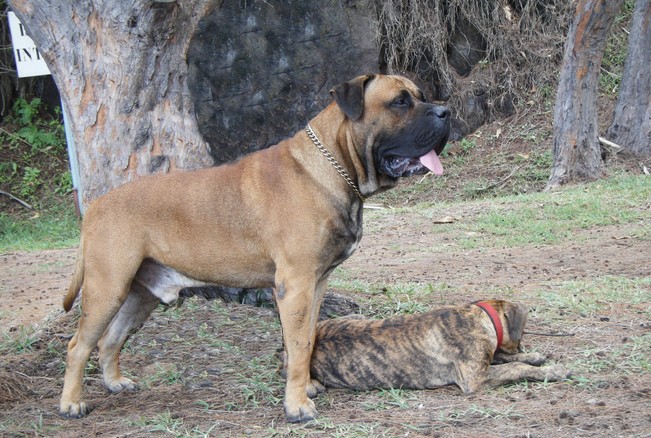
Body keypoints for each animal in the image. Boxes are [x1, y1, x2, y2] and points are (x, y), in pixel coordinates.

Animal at [58, 73, 450, 422]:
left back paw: (114, 383)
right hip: (107, 287)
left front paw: (304, 387)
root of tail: (95, 206)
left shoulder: (315, 285)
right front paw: (297, 407)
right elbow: (299, 345)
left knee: (110, 340)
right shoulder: (295, 286)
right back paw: (71, 404)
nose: (445, 112)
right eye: (400, 102)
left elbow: (306, 341)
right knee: (78, 346)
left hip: (140, 295)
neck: (332, 168)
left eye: (421, 95)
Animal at [306, 300, 572, 392]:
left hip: (356, 317)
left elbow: (506, 359)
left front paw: (535, 357)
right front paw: (553, 370)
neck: (479, 316)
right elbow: (514, 367)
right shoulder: (475, 377)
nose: (523, 347)